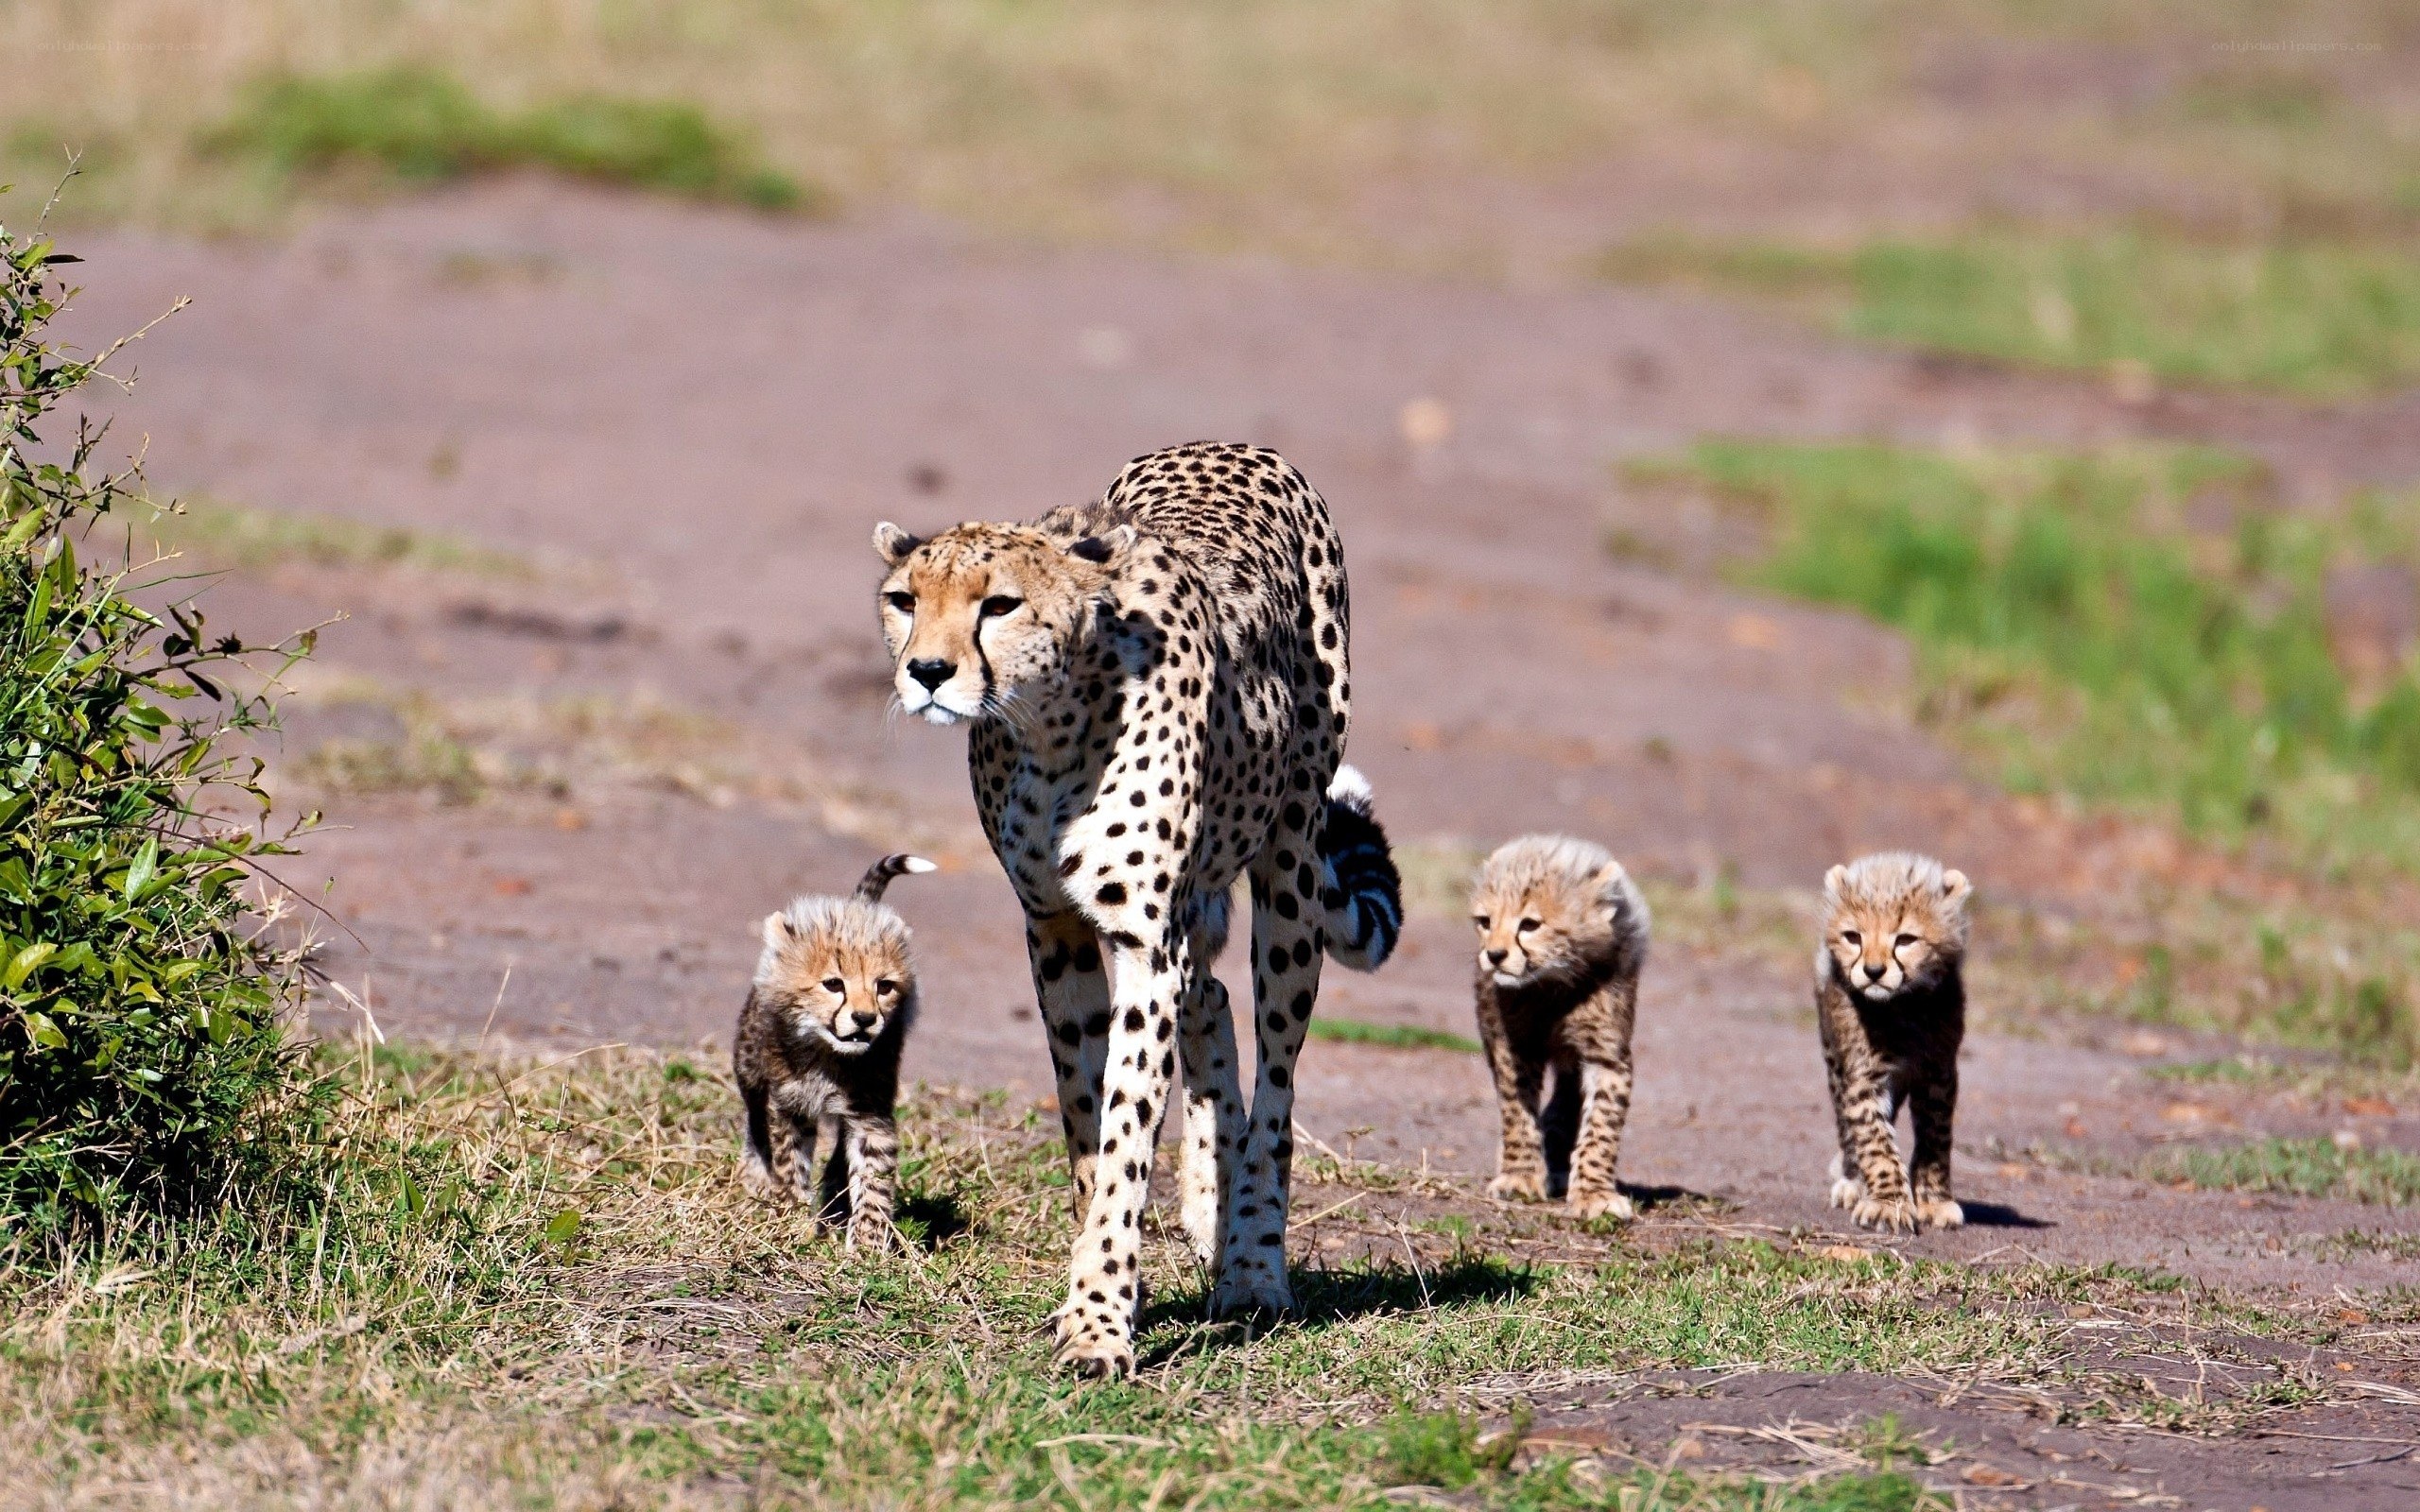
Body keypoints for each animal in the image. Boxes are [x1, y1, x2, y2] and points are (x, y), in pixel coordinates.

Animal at [733, 852, 935, 1251]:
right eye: (833, 984)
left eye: (884, 986)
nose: (865, 1019)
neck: (828, 1055)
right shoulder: (788, 1106)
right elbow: (788, 1161)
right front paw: (793, 1219)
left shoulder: (872, 1113)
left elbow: (873, 1175)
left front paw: (868, 1244)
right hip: (747, 1068)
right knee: (754, 1121)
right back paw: (759, 1180)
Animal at [872, 440, 1402, 1379]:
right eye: (905, 600)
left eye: (999, 603)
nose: (927, 673)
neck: (1050, 727)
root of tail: (1233, 444)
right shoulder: (1054, 929)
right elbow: (1088, 1122)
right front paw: (1111, 1282)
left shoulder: (1143, 941)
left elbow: (1125, 1131)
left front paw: (1097, 1324)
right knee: (1212, 1000)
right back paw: (1209, 1211)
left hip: (1291, 867)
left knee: (1275, 1081)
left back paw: (1252, 1264)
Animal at [1469, 835, 1651, 1223]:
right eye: (1485, 921)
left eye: (1530, 924)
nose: (1494, 955)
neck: (1553, 984)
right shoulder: (1514, 1046)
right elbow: (1517, 1114)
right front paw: (1520, 1176)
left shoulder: (1606, 1054)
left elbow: (1601, 1126)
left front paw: (1594, 1193)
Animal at [1814, 851, 1972, 1234]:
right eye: (1853, 936)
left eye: (1906, 939)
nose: (1873, 971)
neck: (1903, 1007)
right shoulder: (1862, 1077)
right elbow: (1875, 1142)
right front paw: (1888, 1203)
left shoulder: (1939, 1073)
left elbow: (1936, 1138)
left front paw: (1934, 1200)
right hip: (1834, 1060)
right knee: (1847, 1128)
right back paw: (1851, 1181)